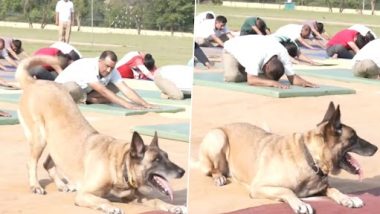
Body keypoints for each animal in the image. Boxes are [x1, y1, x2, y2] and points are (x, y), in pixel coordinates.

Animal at [199, 102, 378, 214]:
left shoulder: (322, 187)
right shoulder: (259, 187)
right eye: (354, 138)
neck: (310, 159)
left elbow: (334, 189)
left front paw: (348, 199)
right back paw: (219, 176)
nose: (376, 148)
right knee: (212, 168)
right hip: (218, 138)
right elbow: (287, 190)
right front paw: (300, 204)